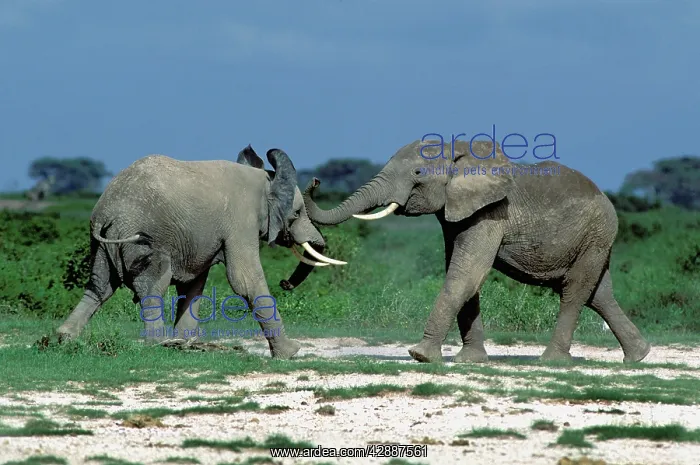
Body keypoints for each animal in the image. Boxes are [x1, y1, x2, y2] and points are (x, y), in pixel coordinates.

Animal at [56, 145, 346, 359]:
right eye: (296, 213)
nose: (285, 283)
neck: (264, 180)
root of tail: (106, 213)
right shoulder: (241, 220)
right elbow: (244, 279)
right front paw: (290, 352)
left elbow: (194, 285)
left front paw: (187, 344)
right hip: (140, 238)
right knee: (153, 285)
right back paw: (157, 345)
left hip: (104, 243)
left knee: (99, 286)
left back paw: (63, 338)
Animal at [302, 138, 651, 364]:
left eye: (417, 174)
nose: (315, 180)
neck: (459, 153)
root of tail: (607, 200)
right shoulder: (456, 214)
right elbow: (463, 275)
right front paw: (470, 360)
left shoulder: (491, 213)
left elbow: (465, 274)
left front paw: (420, 355)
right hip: (593, 240)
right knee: (599, 294)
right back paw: (638, 357)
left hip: (597, 234)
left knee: (575, 291)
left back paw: (552, 361)